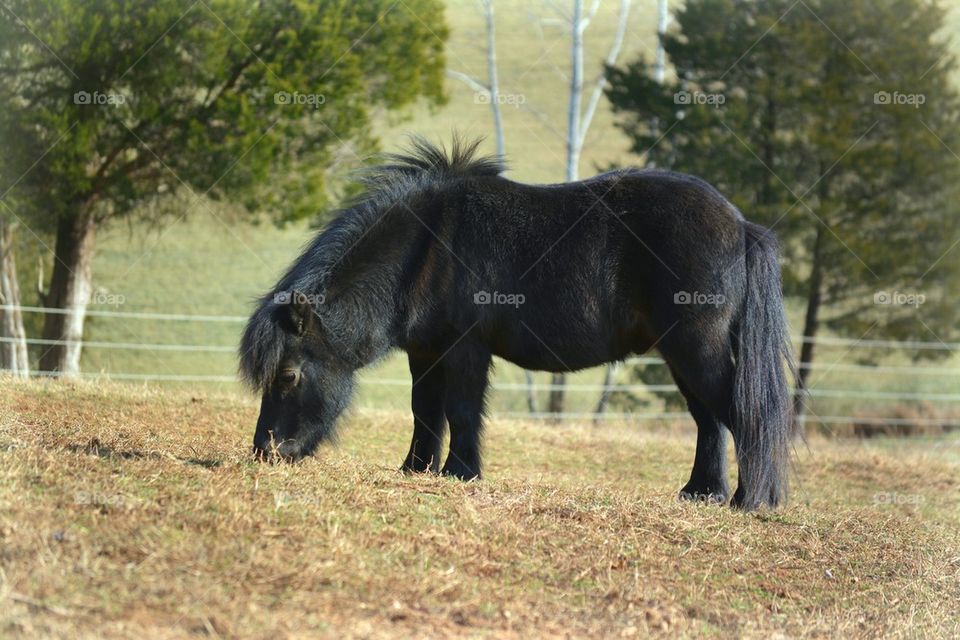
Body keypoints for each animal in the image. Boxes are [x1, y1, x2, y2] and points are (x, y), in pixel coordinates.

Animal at [240, 136, 796, 510]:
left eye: (288, 376)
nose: (265, 452)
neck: (427, 244)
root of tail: (741, 225)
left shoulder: (465, 349)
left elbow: (461, 411)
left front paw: (460, 473)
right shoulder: (427, 352)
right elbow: (426, 412)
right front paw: (416, 469)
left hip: (695, 350)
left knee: (742, 414)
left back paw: (747, 500)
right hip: (681, 356)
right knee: (709, 420)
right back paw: (701, 493)